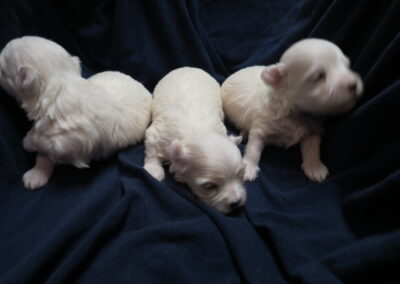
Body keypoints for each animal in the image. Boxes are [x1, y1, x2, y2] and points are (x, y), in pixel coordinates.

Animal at [0, 36, 153, 191]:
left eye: (3, 68)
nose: (2, 48)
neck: (60, 87)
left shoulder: (71, 144)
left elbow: (47, 145)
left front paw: (29, 142)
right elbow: (44, 153)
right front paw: (36, 172)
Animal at [142, 66, 245, 213]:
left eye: (241, 176)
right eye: (210, 187)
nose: (236, 203)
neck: (197, 133)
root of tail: (189, 67)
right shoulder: (157, 134)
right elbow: (152, 150)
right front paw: (154, 171)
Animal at [220, 38, 364, 182]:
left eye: (347, 66)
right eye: (319, 76)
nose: (353, 84)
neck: (296, 112)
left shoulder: (313, 130)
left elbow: (313, 148)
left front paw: (315, 167)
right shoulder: (260, 127)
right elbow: (253, 149)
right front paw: (248, 167)